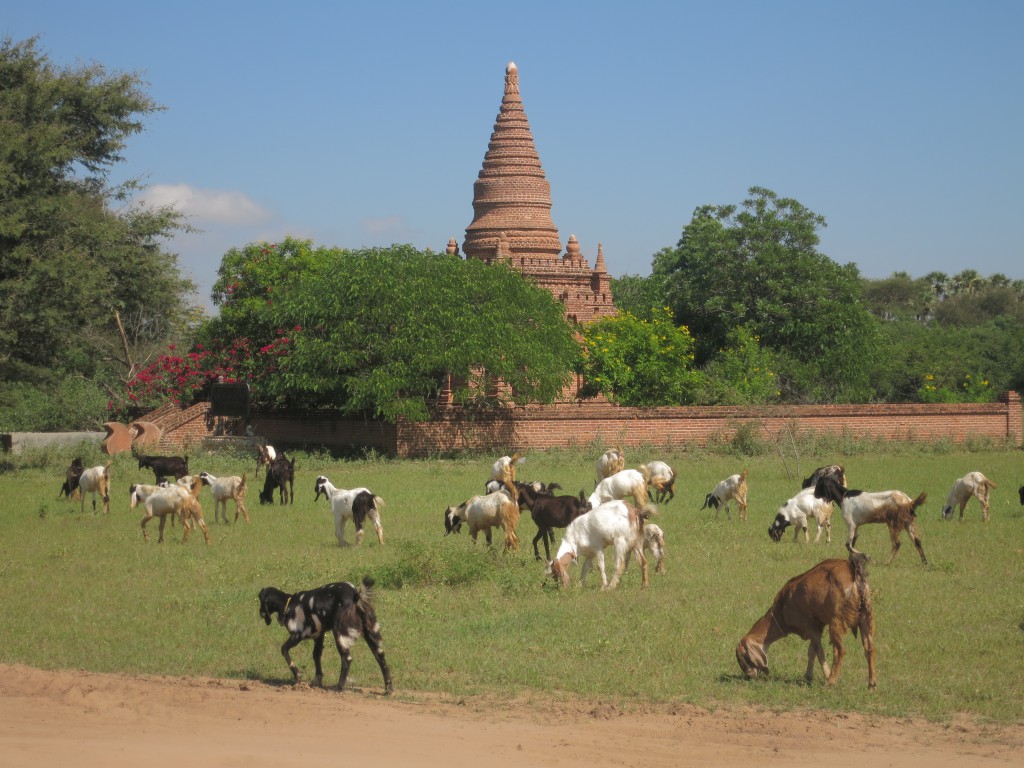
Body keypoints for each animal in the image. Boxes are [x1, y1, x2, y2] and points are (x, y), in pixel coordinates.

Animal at [258, 577, 393, 696]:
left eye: (260, 599)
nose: (260, 613)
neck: (290, 604)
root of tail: (356, 595)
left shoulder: (297, 636)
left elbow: (284, 649)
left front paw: (298, 676)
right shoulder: (319, 635)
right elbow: (316, 655)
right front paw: (317, 680)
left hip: (339, 632)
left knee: (347, 658)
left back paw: (339, 687)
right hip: (370, 631)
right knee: (380, 655)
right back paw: (388, 689)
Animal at [733, 552, 876, 692]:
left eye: (743, 657)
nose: (749, 676)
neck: (783, 607)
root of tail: (855, 574)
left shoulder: (809, 625)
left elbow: (819, 651)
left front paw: (826, 676)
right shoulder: (818, 627)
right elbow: (811, 651)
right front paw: (808, 677)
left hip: (836, 620)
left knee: (839, 650)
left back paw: (830, 682)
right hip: (866, 616)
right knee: (869, 649)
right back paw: (871, 685)